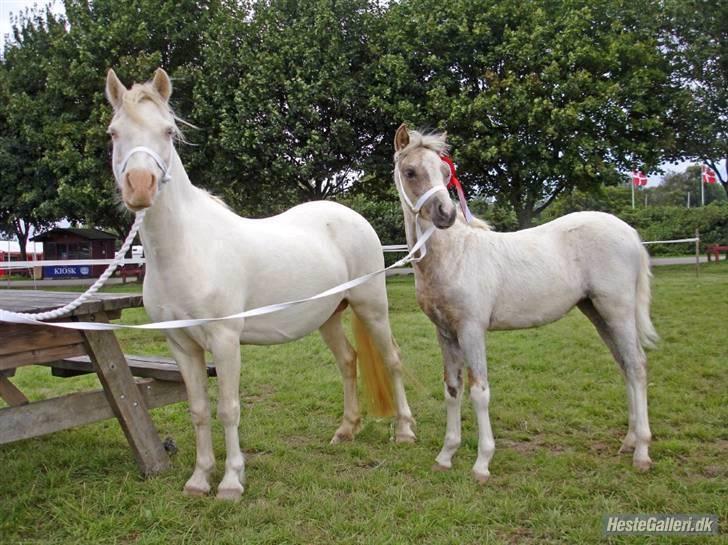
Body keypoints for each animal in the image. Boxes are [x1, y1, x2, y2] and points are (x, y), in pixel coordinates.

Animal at [105, 69, 418, 502]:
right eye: (114, 132)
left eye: (167, 131)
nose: (139, 186)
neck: (188, 248)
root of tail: (351, 217)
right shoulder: (180, 344)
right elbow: (199, 410)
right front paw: (199, 479)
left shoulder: (224, 340)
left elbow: (228, 408)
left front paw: (231, 482)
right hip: (328, 317)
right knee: (348, 361)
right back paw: (345, 431)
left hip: (371, 307)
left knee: (392, 360)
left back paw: (404, 431)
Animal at [392, 124, 660, 480]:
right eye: (410, 172)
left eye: (445, 172)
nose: (445, 215)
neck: (454, 255)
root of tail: (630, 232)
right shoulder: (446, 332)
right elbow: (452, 390)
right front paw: (446, 455)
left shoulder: (471, 330)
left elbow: (479, 392)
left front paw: (482, 463)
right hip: (597, 312)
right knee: (625, 365)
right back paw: (629, 442)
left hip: (617, 310)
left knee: (637, 365)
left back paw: (642, 452)